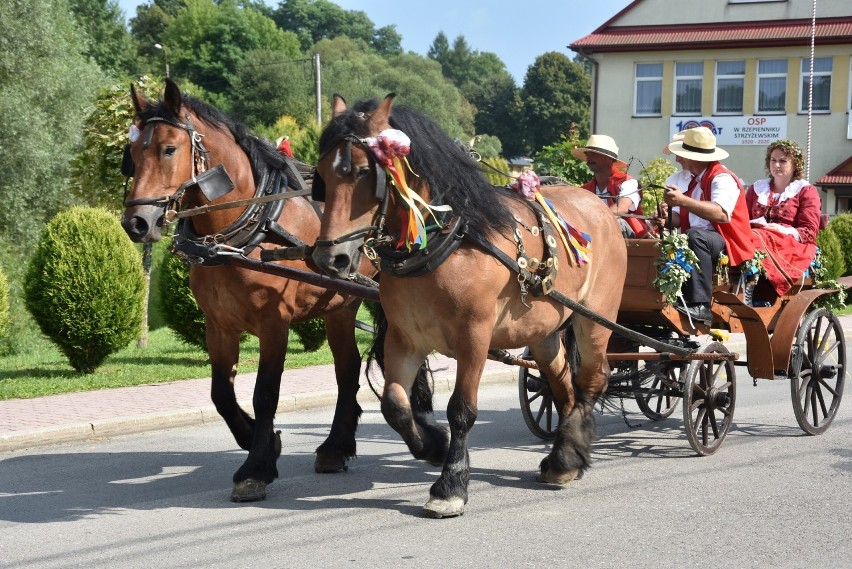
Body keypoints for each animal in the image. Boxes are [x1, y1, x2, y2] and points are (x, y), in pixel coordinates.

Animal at [119, 79, 396, 502]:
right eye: (131, 153)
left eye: (168, 148)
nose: (136, 222)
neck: (244, 230)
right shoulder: (218, 325)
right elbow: (221, 393)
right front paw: (257, 440)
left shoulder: (274, 323)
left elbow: (265, 394)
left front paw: (256, 468)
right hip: (340, 306)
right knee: (347, 370)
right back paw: (336, 447)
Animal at [312, 95, 624, 516]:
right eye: (322, 176)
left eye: (363, 172)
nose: (331, 258)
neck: (442, 241)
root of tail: (600, 206)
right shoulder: (405, 337)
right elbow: (395, 405)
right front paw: (432, 445)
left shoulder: (473, 337)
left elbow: (462, 410)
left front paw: (451, 484)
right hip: (544, 330)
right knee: (562, 383)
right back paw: (566, 457)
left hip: (596, 320)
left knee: (591, 379)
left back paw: (566, 456)